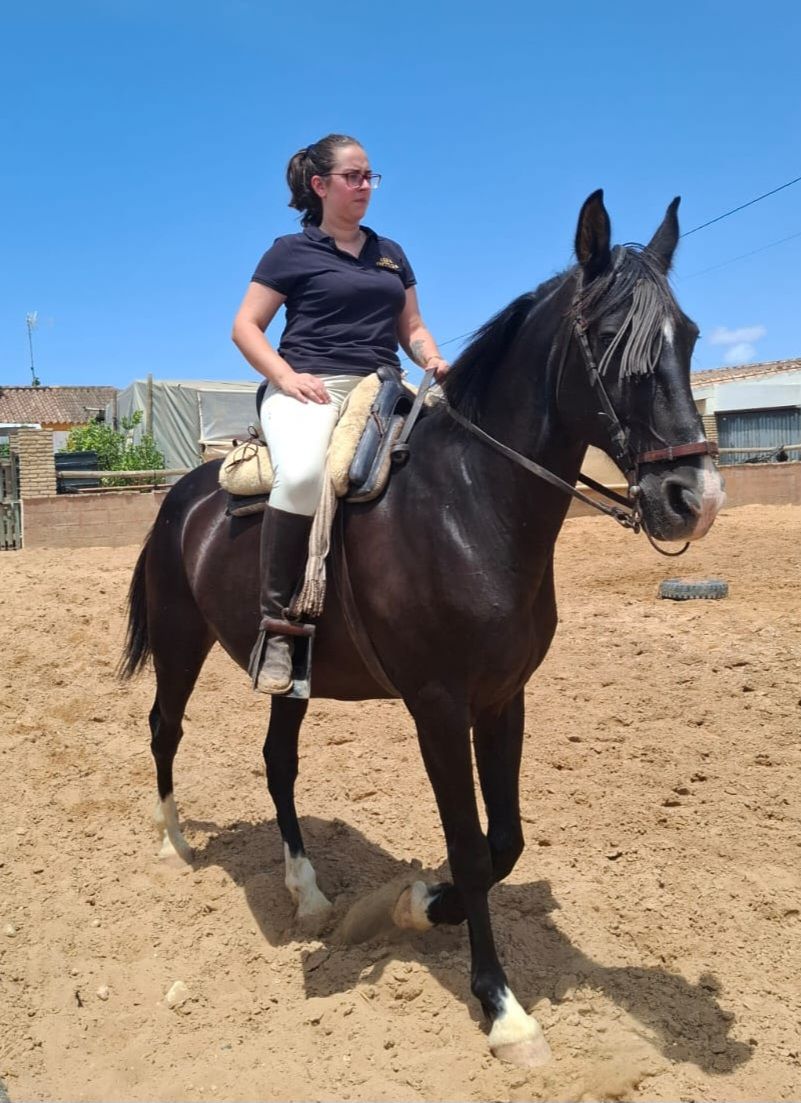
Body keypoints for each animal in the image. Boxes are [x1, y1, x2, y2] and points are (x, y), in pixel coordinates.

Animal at [121, 191, 725, 1066]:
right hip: (178, 640)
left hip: (291, 677)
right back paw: (174, 846)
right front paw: (501, 1006)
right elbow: (471, 846)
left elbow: (505, 839)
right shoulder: (437, 706)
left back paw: (308, 894)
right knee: (164, 728)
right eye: (612, 337)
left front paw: (415, 902)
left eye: (688, 334)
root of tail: (182, 494)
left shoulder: (503, 698)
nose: (693, 498)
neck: (468, 502)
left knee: (277, 761)